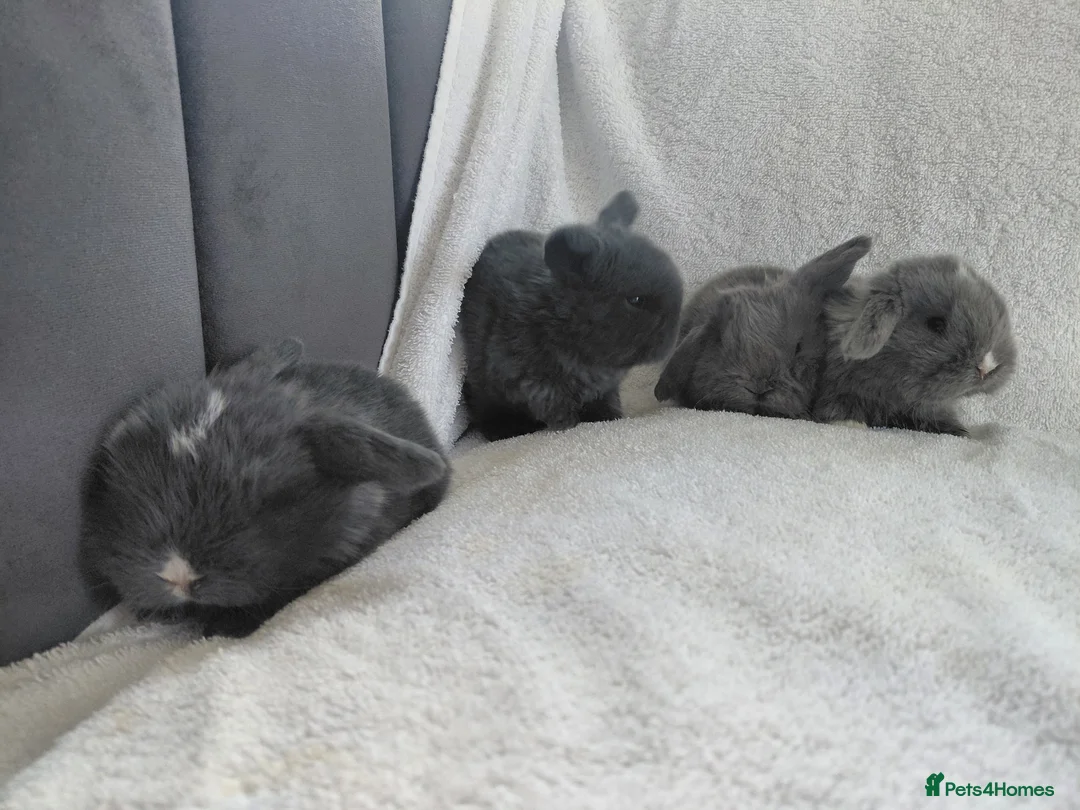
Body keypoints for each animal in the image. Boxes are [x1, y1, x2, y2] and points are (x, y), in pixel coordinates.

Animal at [459, 190, 684, 441]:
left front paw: (609, 417)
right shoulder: (534, 383)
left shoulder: (605, 387)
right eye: (635, 300)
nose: (669, 344)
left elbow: (606, 400)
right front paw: (569, 424)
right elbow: (555, 407)